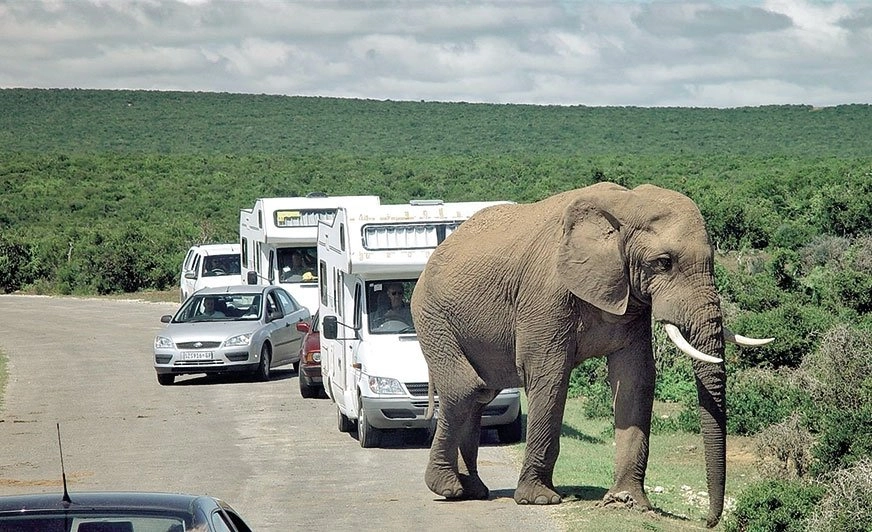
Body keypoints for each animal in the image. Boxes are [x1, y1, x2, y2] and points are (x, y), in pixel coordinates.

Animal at [412, 183, 772, 528]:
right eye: (663, 263)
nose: (709, 521)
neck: (624, 204)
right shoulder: (545, 294)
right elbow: (549, 376)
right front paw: (539, 500)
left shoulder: (629, 294)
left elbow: (635, 378)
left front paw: (628, 502)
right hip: (432, 315)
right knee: (465, 389)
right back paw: (448, 488)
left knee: (480, 396)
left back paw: (473, 490)